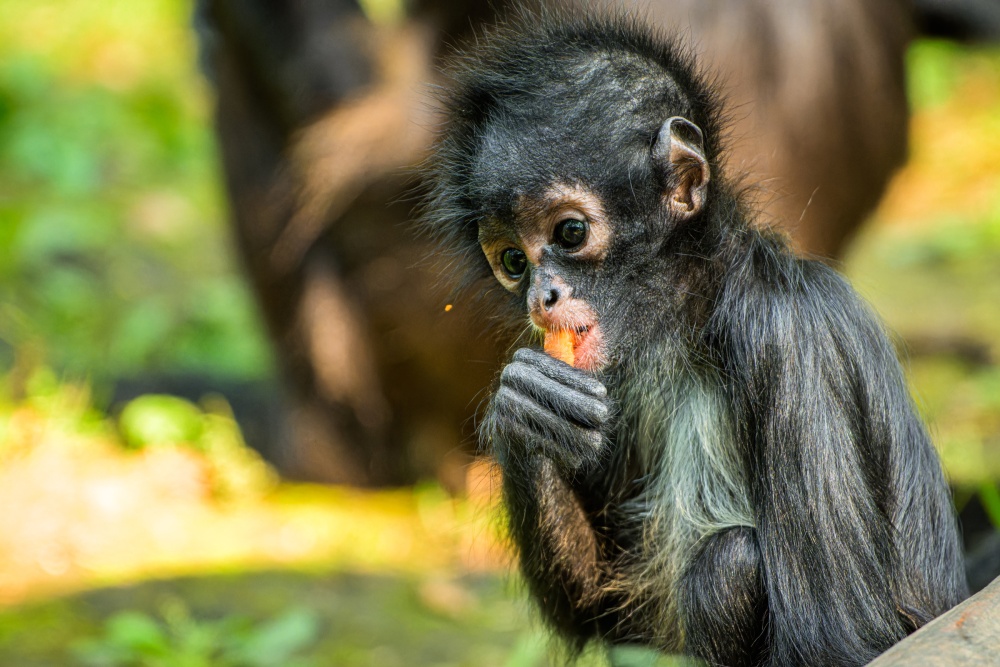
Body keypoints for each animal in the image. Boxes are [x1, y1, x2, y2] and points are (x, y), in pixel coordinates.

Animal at [420, 11, 969, 666]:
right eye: (512, 261)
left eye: (570, 233)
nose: (540, 297)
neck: (694, 323)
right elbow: (598, 612)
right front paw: (526, 411)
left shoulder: (787, 332)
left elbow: (843, 641)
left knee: (729, 563)